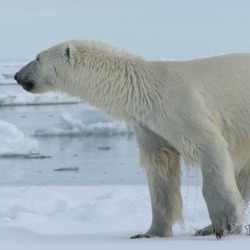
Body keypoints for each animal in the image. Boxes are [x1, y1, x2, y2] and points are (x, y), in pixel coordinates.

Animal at [14, 40, 250, 238]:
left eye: (37, 57)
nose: (16, 75)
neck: (146, 89)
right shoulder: (150, 126)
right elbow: (161, 170)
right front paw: (149, 233)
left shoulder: (183, 107)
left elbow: (210, 146)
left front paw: (225, 222)